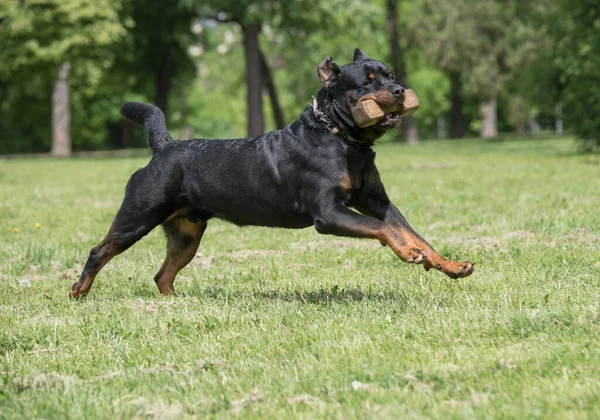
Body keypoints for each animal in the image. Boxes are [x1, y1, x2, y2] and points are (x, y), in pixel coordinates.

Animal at [69, 48, 474, 298]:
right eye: (368, 81)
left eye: (390, 75)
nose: (400, 90)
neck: (341, 138)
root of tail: (164, 147)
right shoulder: (328, 213)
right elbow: (386, 230)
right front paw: (408, 252)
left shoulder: (377, 201)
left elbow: (412, 231)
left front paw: (450, 265)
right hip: (139, 215)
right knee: (99, 251)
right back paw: (78, 291)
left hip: (187, 232)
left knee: (163, 274)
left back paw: (175, 303)